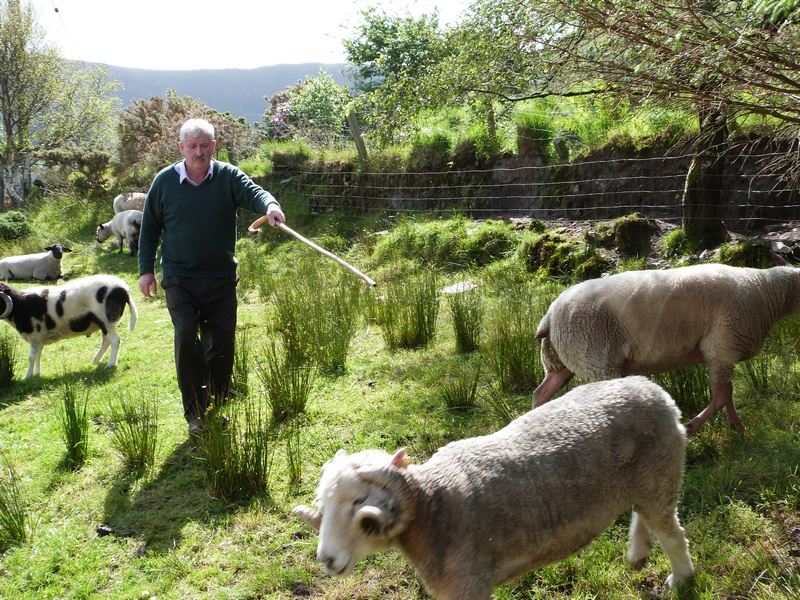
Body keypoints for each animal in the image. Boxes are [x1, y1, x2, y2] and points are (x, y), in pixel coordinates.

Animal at [0, 274, 138, 378]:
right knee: (106, 341)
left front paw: (27, 377)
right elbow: (38, 354)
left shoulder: (35, 335)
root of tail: (124, 289)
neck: (19, 305)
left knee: (114, 340)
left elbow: (31, 357)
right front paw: (36, 374)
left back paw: (111, 364)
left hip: (105, 318)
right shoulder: (39, 339)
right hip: (104, 322)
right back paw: (95, 361)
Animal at [292, 378, 692, 596]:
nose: (327, 560)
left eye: (359, 502)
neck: (433, 505)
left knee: (672, 533)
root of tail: (658, 393)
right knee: (645, 516)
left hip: (659, 474)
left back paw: (681, 579)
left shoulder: (469, 586)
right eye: (324, 505)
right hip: (645, 480)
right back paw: (638, 554)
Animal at [532, 254, 800, 436]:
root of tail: (549, 316)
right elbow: (723, 395)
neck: (763, 291)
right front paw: (691, 426)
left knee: (541, 394)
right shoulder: (721, 346)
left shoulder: (723, 351)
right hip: (596, 358)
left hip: (562, 361)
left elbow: (728, 393)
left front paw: (737, 428)